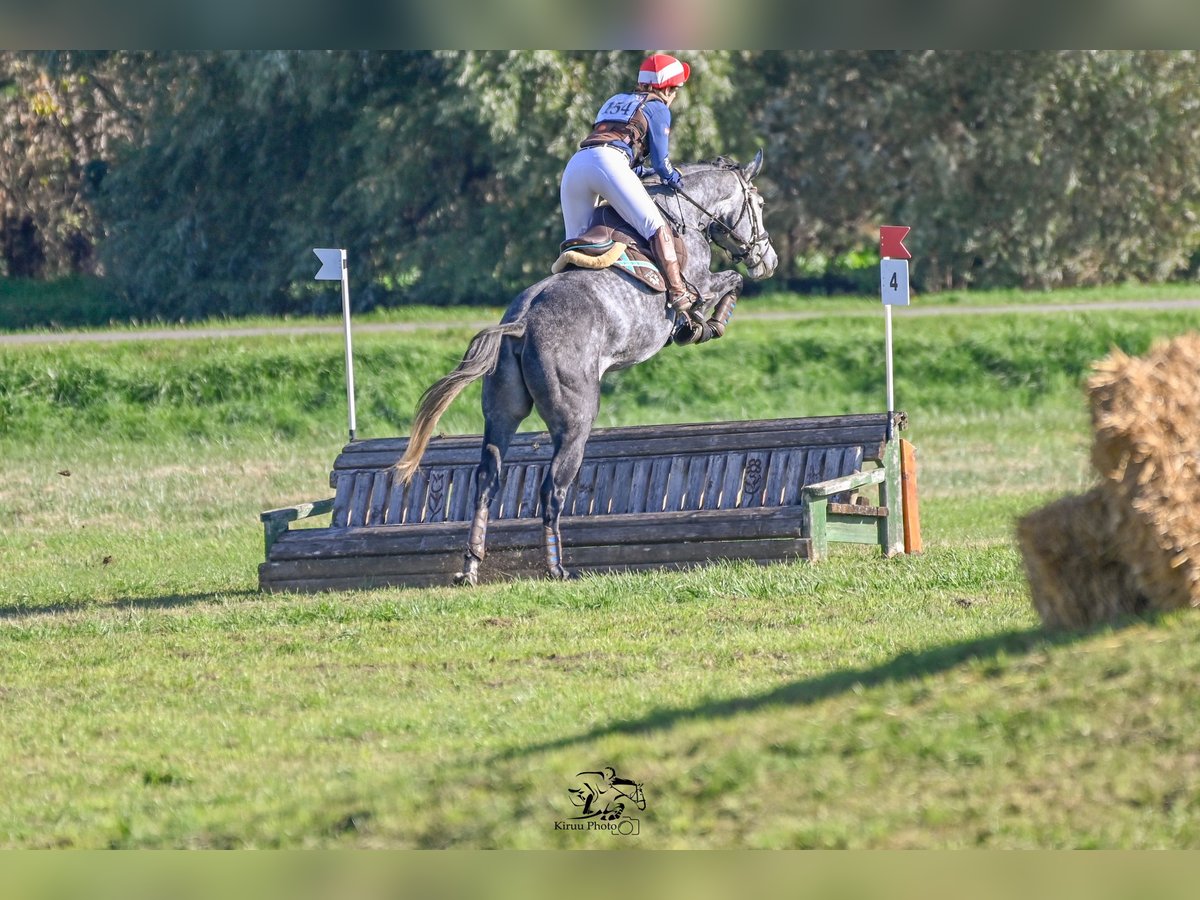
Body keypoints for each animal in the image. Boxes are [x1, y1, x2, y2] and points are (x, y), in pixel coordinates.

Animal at [398, 151, 782, 588]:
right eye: (760, 204)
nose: (768, 261)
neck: (684, 210)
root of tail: (522, 323)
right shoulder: (701, 282)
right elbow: (729, 282)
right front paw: (706, 324)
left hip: (501, 414)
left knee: (487, 480)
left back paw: (471, 566)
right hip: (576, 420)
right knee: (552, 488)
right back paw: (557, 568)